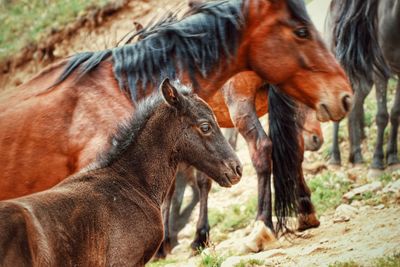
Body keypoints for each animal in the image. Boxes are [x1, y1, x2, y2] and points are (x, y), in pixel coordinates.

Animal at [326, 0, 398, 176]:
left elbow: (395, 113)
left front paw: (392, 157)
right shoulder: (379, 72)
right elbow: (382, 116)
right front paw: (377, 162)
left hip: (363, 81)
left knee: (354, 107)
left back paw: (356, 156)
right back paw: (335, 158)